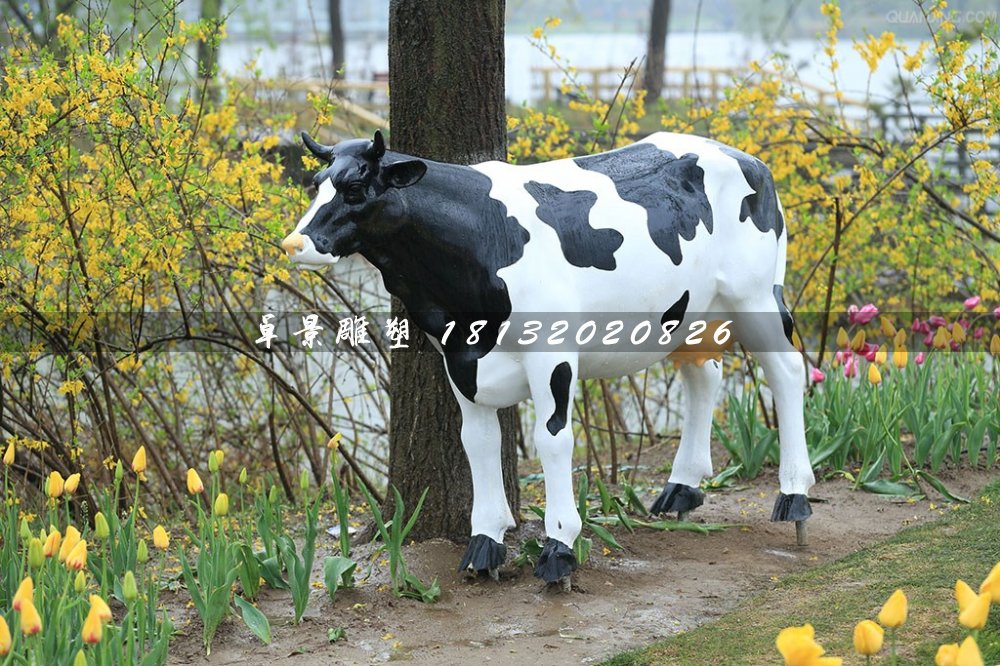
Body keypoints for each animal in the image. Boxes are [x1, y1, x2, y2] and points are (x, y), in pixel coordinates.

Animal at [282, 130, 812, 580]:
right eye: (316, 184)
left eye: (355, 189)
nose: (293, 242)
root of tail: (746, 157)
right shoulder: (459, 356)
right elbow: (477, 441)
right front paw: (485, 543)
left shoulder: (550, 352)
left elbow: (552, 439)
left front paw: (559, 548)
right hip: (690, 312)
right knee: (703, 376)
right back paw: (681, 489)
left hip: (755, 297)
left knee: (787, 372)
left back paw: (794, 496)